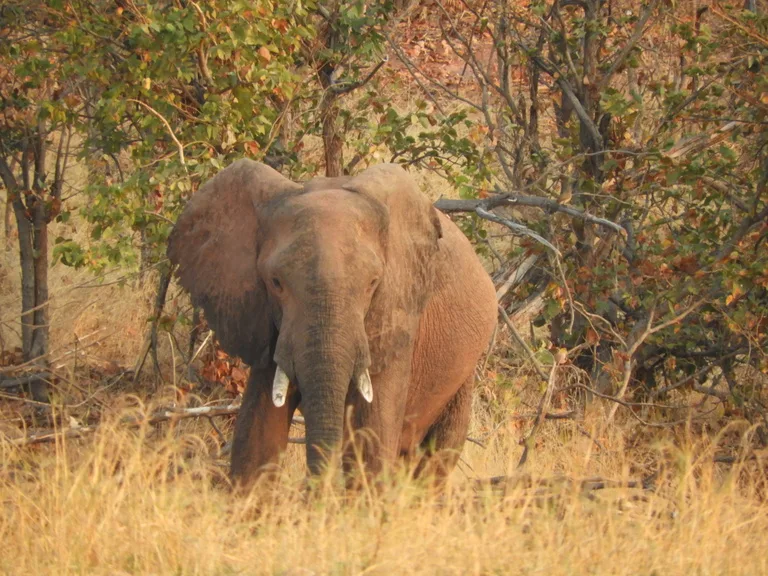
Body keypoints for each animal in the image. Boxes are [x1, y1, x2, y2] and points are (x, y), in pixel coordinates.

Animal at [166, 160, 498, 488]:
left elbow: (371, 437)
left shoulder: (398, 316)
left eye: (373, 283)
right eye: (276, 282)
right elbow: (257, 433)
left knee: (437, 455)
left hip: (463, 370)